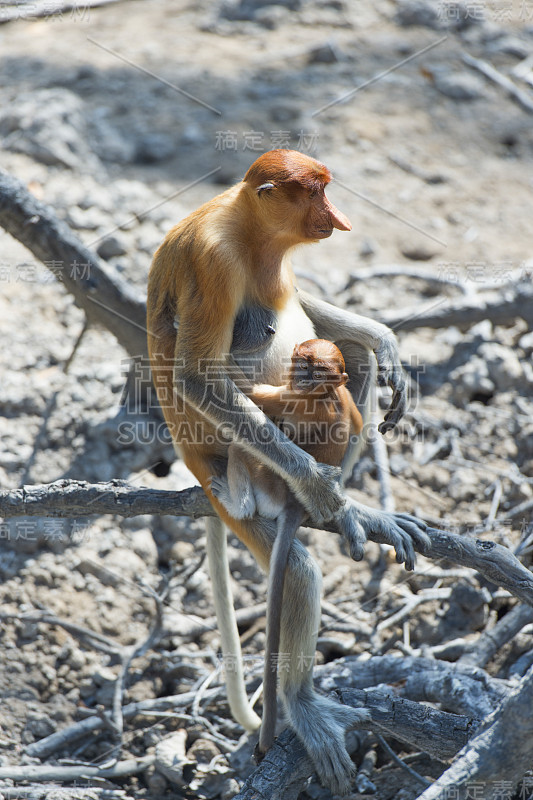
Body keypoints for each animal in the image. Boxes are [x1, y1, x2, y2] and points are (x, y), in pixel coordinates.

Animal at [210, 338, 364, 756]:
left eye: (314, 369)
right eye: (301, 362)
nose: (300, 375)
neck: (324, 395)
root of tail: (296, 504)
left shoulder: (290, 398)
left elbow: (251, 396)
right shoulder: (338, 397)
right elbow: (361, 425)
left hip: (269, 482)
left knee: (243, 448)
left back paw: (237, 502)